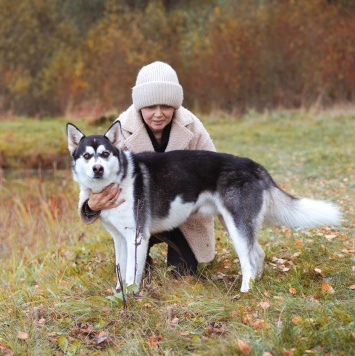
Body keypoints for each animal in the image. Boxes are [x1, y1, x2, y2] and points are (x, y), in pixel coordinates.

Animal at [67, 121, 342, 292]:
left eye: (105, 154)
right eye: (87, 156)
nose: (97, 169)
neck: (120, 179)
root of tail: (254, 165)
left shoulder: (137, 237)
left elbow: (133, 272)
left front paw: (133, 295)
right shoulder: (120, 239)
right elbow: (122, 270)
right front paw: (119, 292)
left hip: (236, 226)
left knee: (247, 259)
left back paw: (246, 289)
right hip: (233, 223)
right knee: (258, 254)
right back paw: (258, 281)